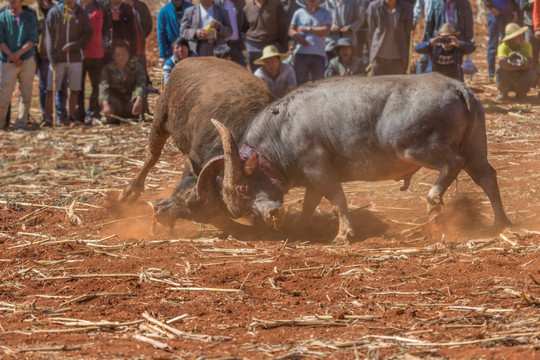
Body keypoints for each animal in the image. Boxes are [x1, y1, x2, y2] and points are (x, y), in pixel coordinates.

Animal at [193, 73, 510, 242]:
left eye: (243, 188)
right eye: (242, 206)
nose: (271, 216)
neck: (283, 129)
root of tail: (458, 87)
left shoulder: (318, 168)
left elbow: (337, 199)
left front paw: (344, 233)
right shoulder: (311, 179)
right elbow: (310, 205)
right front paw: (301, 227)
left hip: (413, 147)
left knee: (453, 163)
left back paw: (433, 202)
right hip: (475, 148)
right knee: (487, 175)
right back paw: (500, 221)